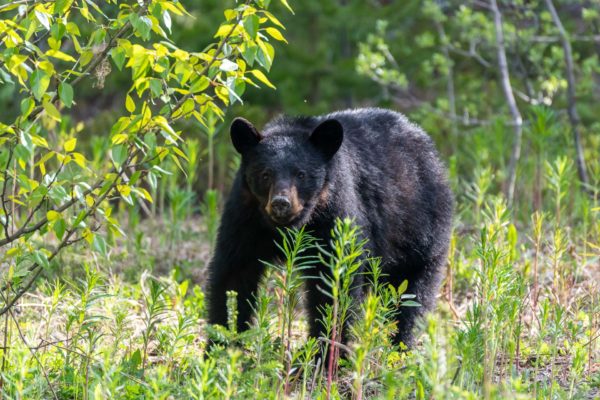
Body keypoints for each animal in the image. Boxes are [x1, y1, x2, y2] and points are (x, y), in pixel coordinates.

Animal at [209, 108, 452, 348]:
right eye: (265, 174)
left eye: (301, 174)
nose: (281, 203)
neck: (292, 226)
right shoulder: (245, 217)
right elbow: (234, 274)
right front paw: (221, 342)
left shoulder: (335, 214)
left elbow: (333, 281)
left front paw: (324, 351)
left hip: (420, 230)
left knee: (412, 293)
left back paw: (401, 344)